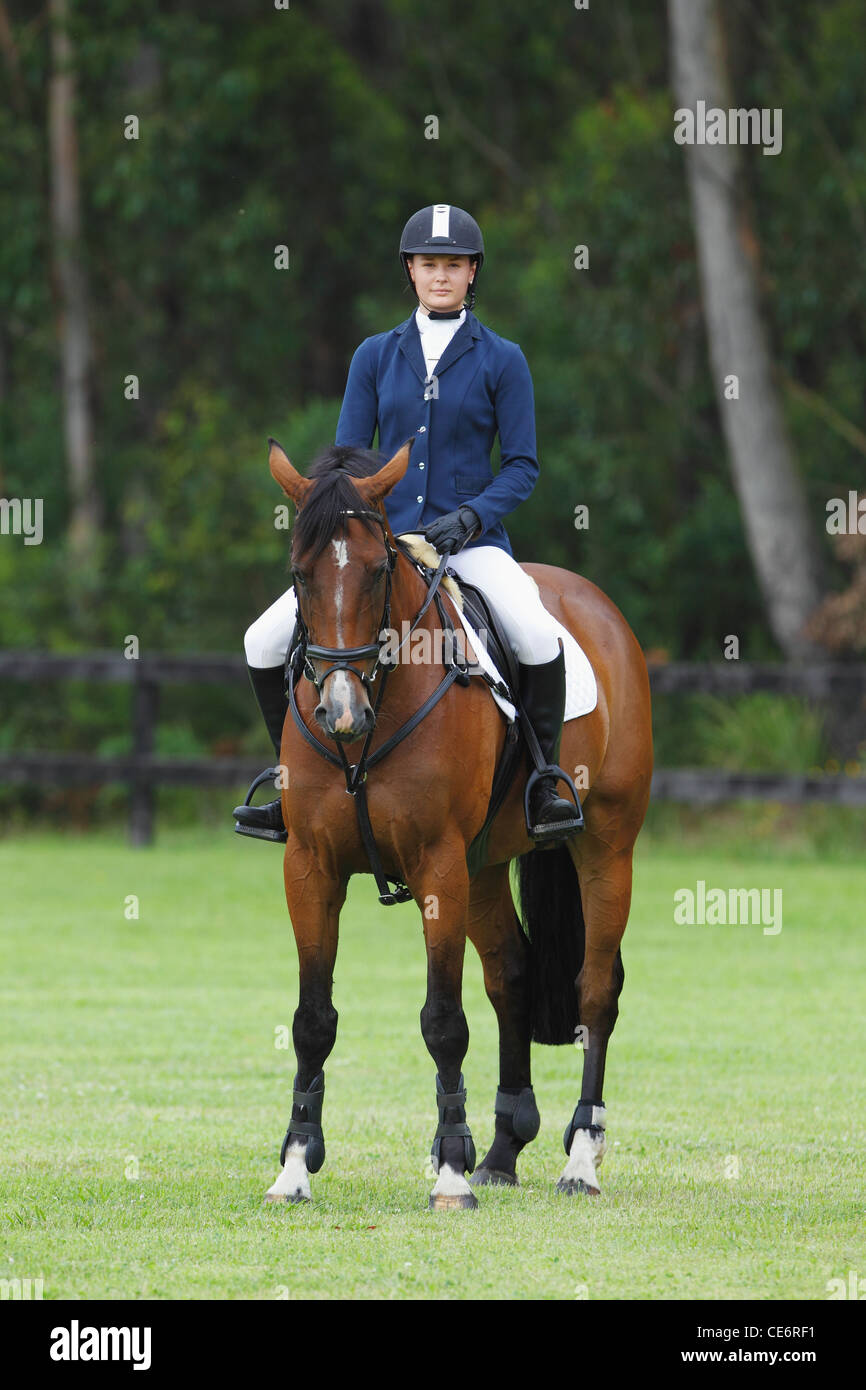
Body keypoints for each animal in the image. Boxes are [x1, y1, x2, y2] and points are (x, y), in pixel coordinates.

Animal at [261, 436, 653, 1206]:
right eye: (299, 573)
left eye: (378, 569)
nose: (342, 714)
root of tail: (592, 601)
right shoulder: (310, 867)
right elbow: (312, 1021)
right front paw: (294, 1167)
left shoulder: (437, 863)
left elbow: (443, 1021)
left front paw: (448, 1172)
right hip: (484, 866)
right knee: (513, 976)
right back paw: (502, 1150)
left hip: (604, 848)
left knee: (595, 991)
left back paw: (580, 1159)